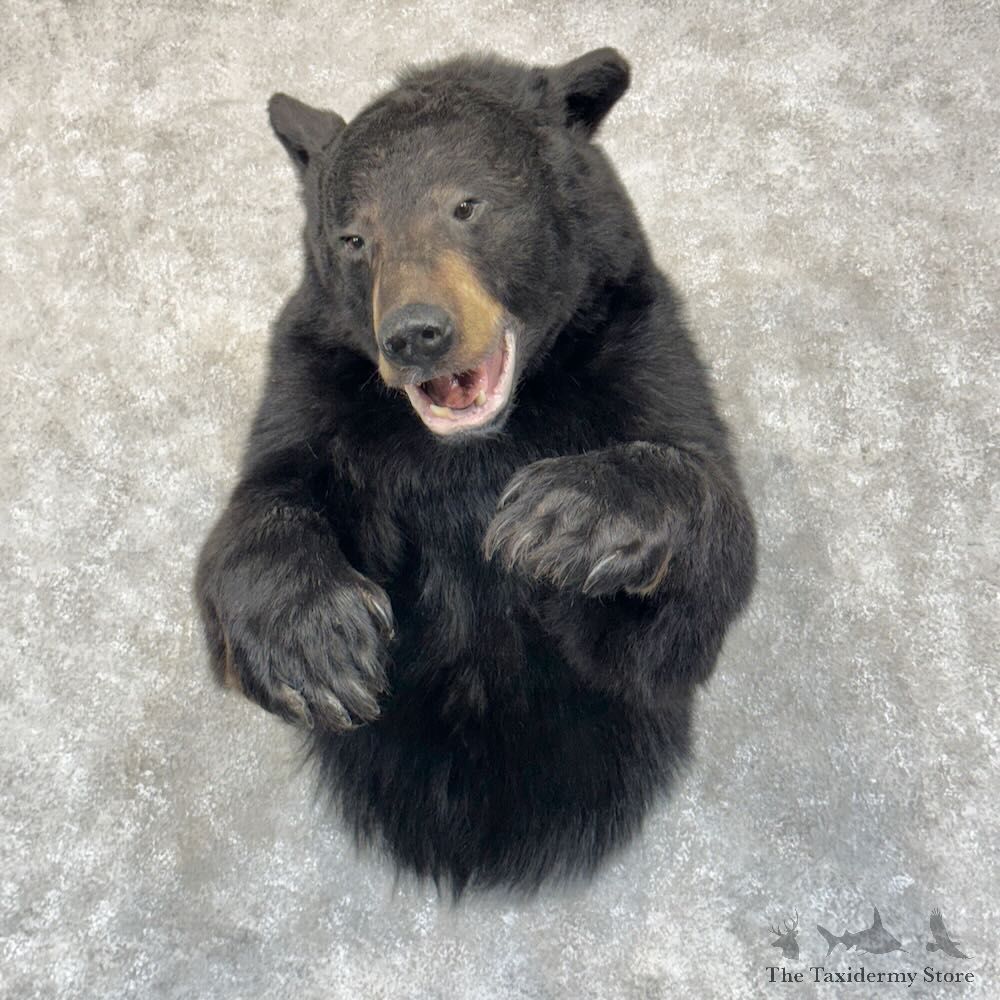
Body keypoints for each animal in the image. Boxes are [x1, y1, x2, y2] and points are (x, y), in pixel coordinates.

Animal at [195, 48, 757, 894]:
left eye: (468, 204)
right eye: (354, 237)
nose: (415, 334)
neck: (478, 444)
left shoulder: (639, 353)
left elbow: (688, 596)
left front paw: (565, 517)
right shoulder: (315, 386)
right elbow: (258, 509)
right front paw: (317, 642)